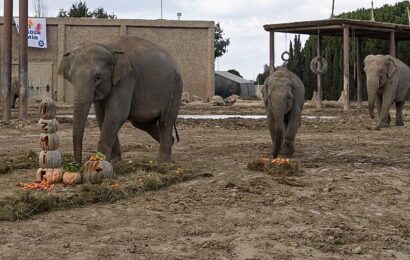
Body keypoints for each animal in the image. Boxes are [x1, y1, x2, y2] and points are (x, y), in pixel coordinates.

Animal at [56, 35, 182, 164]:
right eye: (71, 77)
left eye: (98, 77)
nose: (77, 164)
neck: (108, 47)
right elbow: (102, 117)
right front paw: (114, 160)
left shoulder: (126, 79)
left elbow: (115, 115)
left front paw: (100, 161)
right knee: (143, 123)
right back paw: (171, 141)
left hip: (175, 89)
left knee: (165, 122)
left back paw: (163, 161)